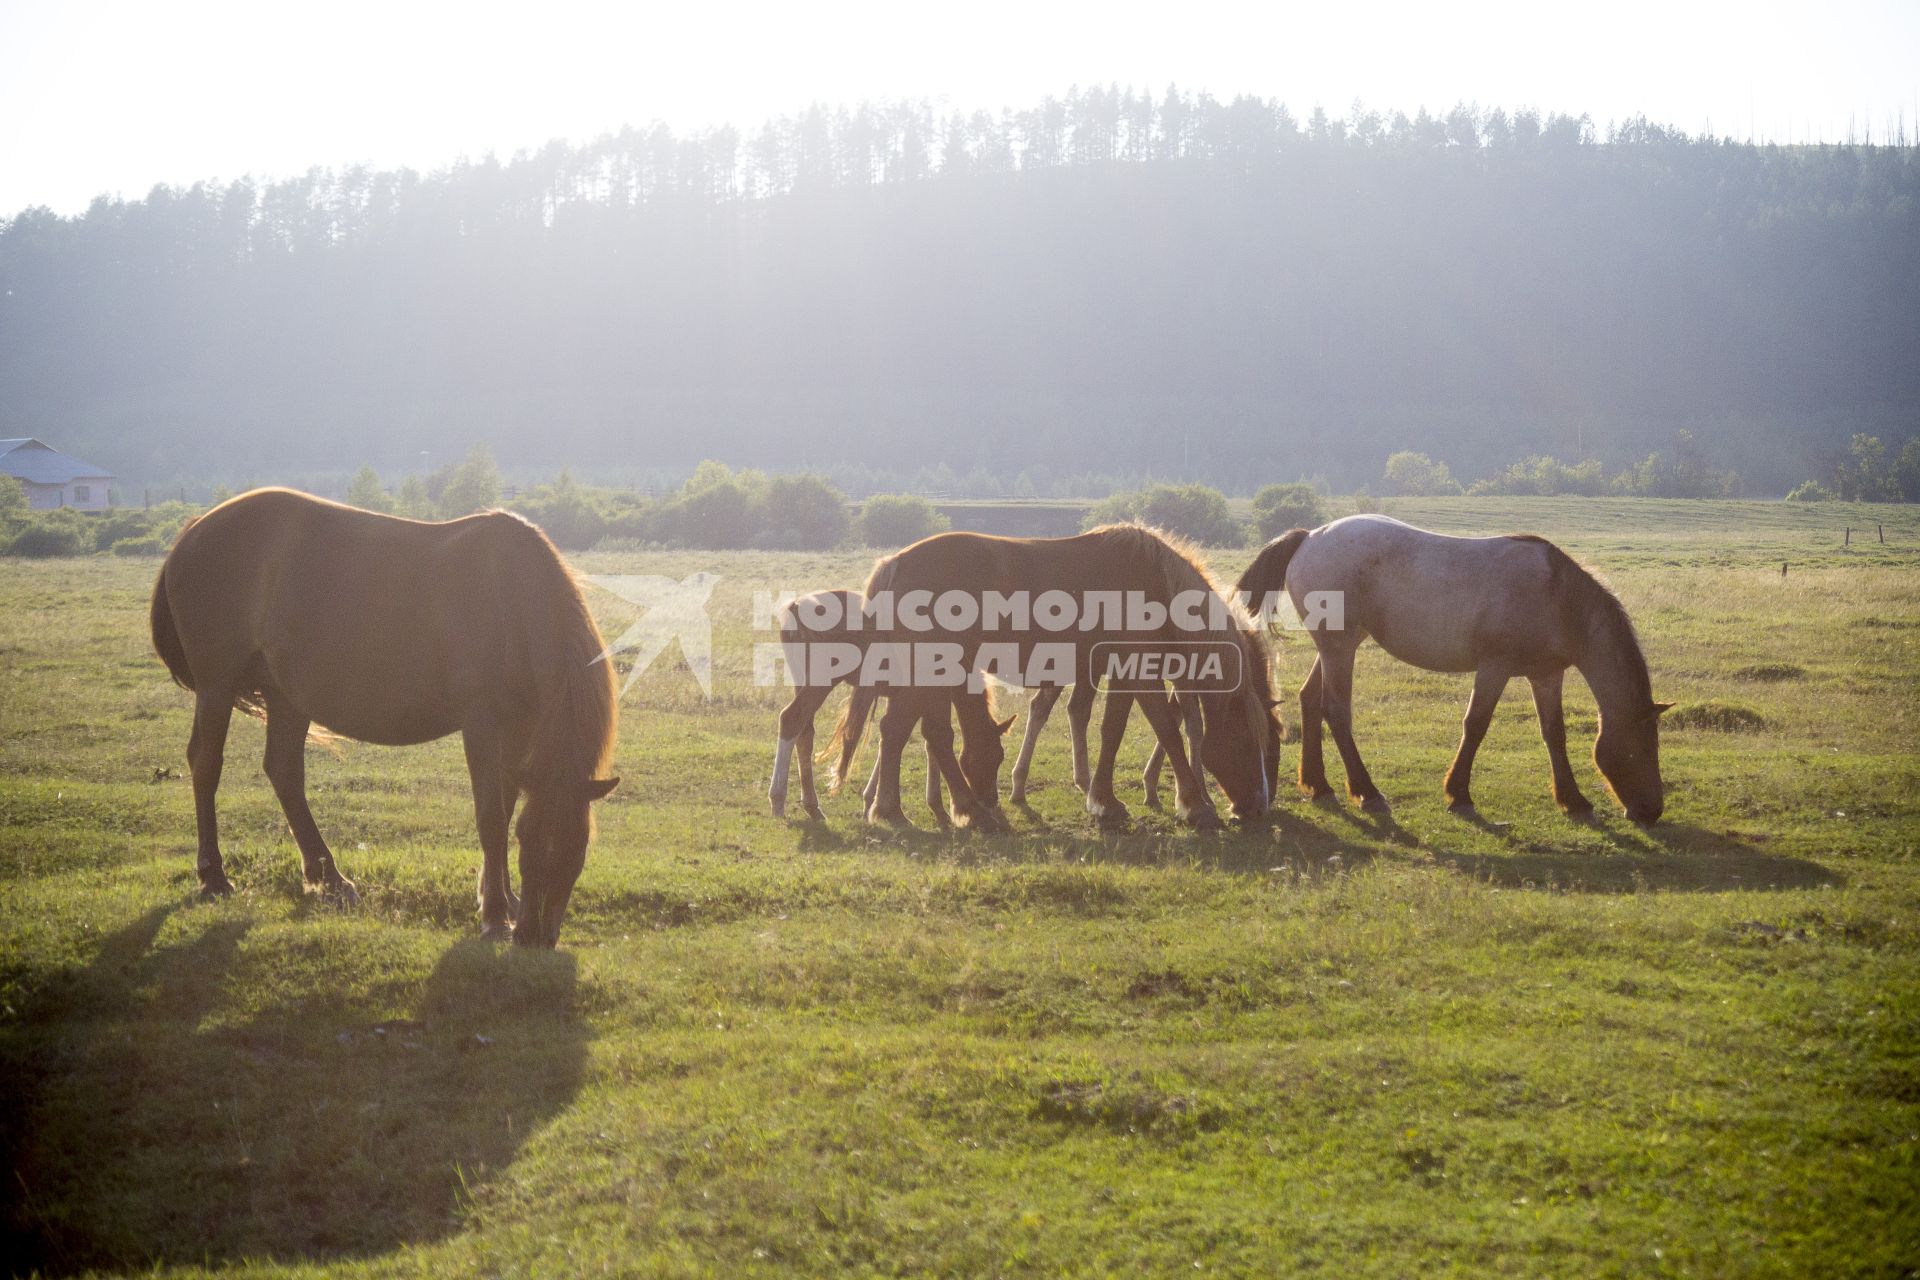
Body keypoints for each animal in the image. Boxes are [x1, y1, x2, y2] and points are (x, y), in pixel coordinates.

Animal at [149, 485, 614, 948]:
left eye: (578, 848)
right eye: (529, 843)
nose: (534, 937)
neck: (511, 600)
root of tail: (194, 530)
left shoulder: (520, 727)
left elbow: (506, 802)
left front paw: (500, 898)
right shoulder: (481, 724)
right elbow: (491, 817)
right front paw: (497, 916)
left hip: (286, 696)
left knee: (283, 771)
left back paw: (330, 879)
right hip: (217, 685)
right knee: (206, 763)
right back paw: (214, 876)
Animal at [764, 587, 1013, 825]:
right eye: (996, 756)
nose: (992, 801)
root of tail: (797, 605)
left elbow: (895, 737)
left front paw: (872, 800)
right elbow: (928, 738)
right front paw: (933, 804)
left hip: (802, 682)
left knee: (804, 733)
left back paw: (812, 806)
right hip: (820, 683)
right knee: (791, 719)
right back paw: (778, 800)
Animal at [1244, 514, 1666, 825]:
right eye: (1643, 746)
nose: (1652, 811)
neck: (1557, 596)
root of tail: (1310, 536)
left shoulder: (1546, 674)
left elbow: (1554, 734)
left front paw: (1573, 800)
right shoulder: (1494, 667)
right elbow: (1476, 725)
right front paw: (1459, 794)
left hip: (1338, 646)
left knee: (1310, 699)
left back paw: (1319, 786)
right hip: (1340, 648)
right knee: (1336, 711)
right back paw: (1368, 792)